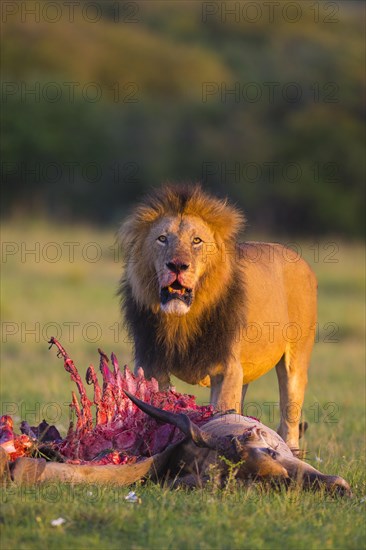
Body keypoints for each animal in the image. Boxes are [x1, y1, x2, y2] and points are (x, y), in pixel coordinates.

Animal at [118, 185, 316, 452]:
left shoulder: (226, 369)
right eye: (162, 238)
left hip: (295, 364)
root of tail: (299, 258)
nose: (177, 265)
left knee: (290, 417)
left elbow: (223, 416)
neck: (182, 320)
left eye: (196, 241)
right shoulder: (150, 365)